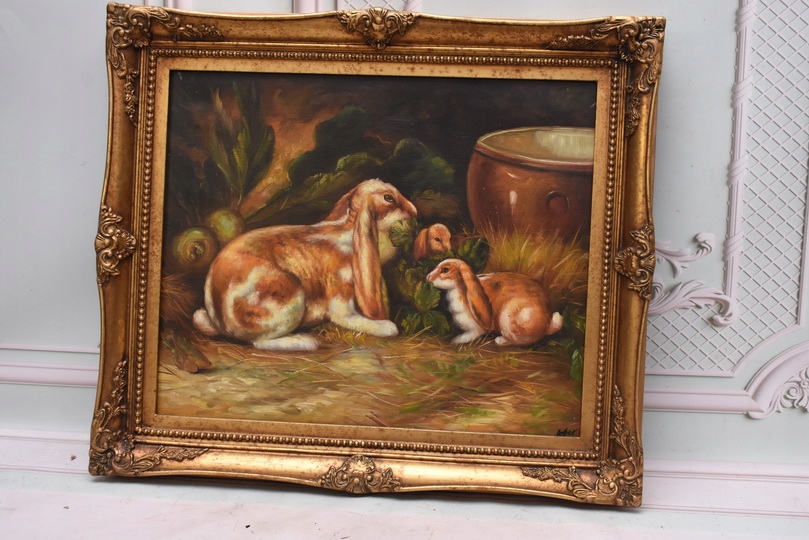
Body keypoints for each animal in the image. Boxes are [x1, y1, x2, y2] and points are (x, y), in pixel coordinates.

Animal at [193, 179, 418, 351]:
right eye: (388, 198)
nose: (414, 212)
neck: (348, 231)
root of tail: (222, 321)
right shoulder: (341, 298)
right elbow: (368, 322)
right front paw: (386, 325)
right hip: (289, 295)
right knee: (259, 342)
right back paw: (306, 341)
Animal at [426, 258, 563, 346]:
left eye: (445, 270)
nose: (428, 277)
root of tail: (547, 324)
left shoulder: (476, 329)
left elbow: (473, 334)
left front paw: (458, 340)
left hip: (512, 315)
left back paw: (500, 341)